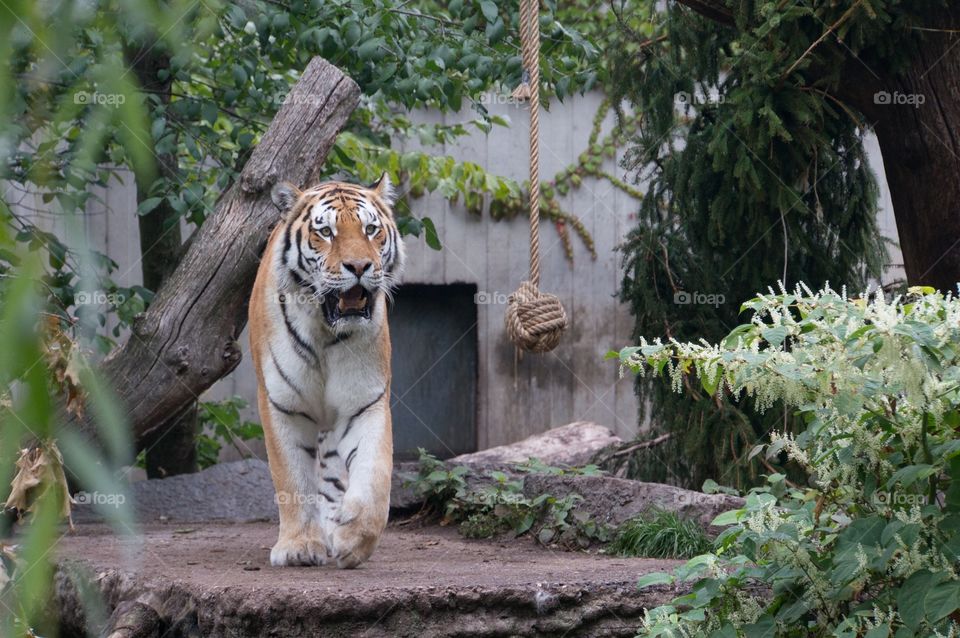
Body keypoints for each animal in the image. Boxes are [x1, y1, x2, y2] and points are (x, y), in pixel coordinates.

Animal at [248, 173, 404, 569]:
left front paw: (354, 540)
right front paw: (299, 547)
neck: (325, 329)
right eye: (326, 232)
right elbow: (293, 480)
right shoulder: (282, 405)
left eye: (370, 229)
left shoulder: (364, 403)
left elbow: (374, 476)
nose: (359, 267)